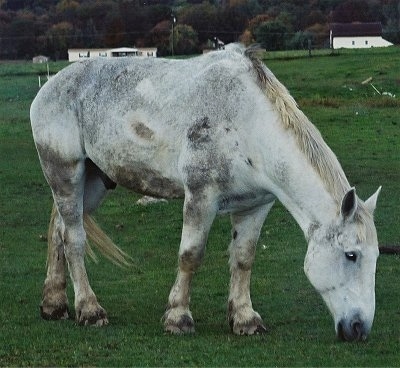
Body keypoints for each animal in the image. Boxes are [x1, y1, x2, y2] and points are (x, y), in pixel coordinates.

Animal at [29, 44, 380, 340]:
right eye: (351, 255)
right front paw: (178, 318)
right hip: (65, 173)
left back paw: (54, 305)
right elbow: (190, 256)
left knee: (60, 232)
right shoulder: (201, 197)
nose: (359, 328)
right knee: (74, 239)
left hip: (94, 181)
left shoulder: (255, 206)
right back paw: (89, 310)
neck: (248, 123)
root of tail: (51, 85)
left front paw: (245, 319)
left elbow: (244, 258)